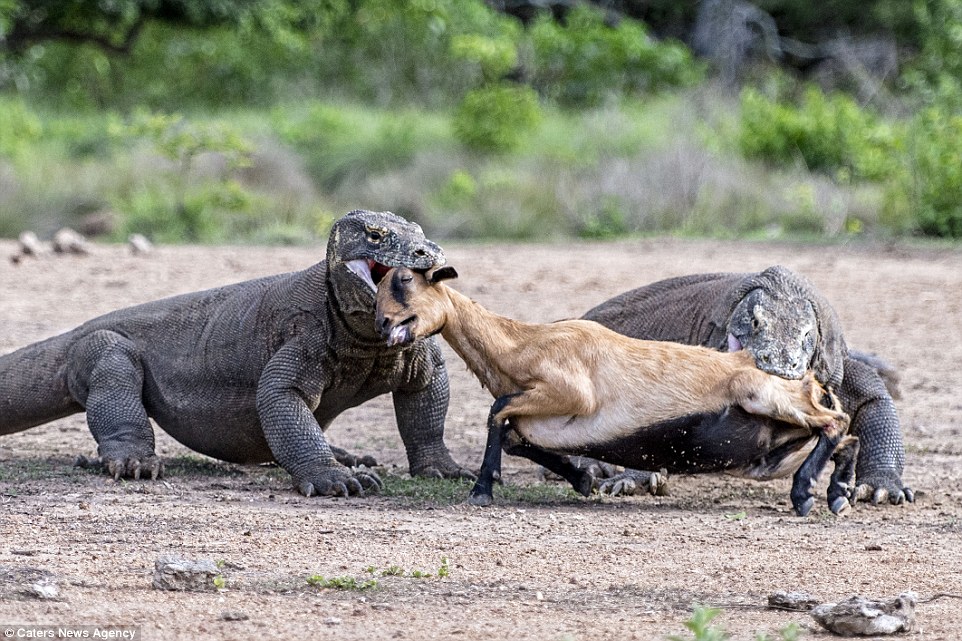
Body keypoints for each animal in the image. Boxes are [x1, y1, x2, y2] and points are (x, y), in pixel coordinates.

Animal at [376, 264, 848, 504]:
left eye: (405, 280)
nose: (382, 324)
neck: (521, 346)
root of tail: (810, 382)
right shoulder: (541, 418)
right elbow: (512, 435)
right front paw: (583, 480)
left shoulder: (570, 392)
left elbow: (498, 412)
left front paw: (481, 490)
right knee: (842, 436)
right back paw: (834, 493)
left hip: (763, 395)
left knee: (836, 423)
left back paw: (807, 495)